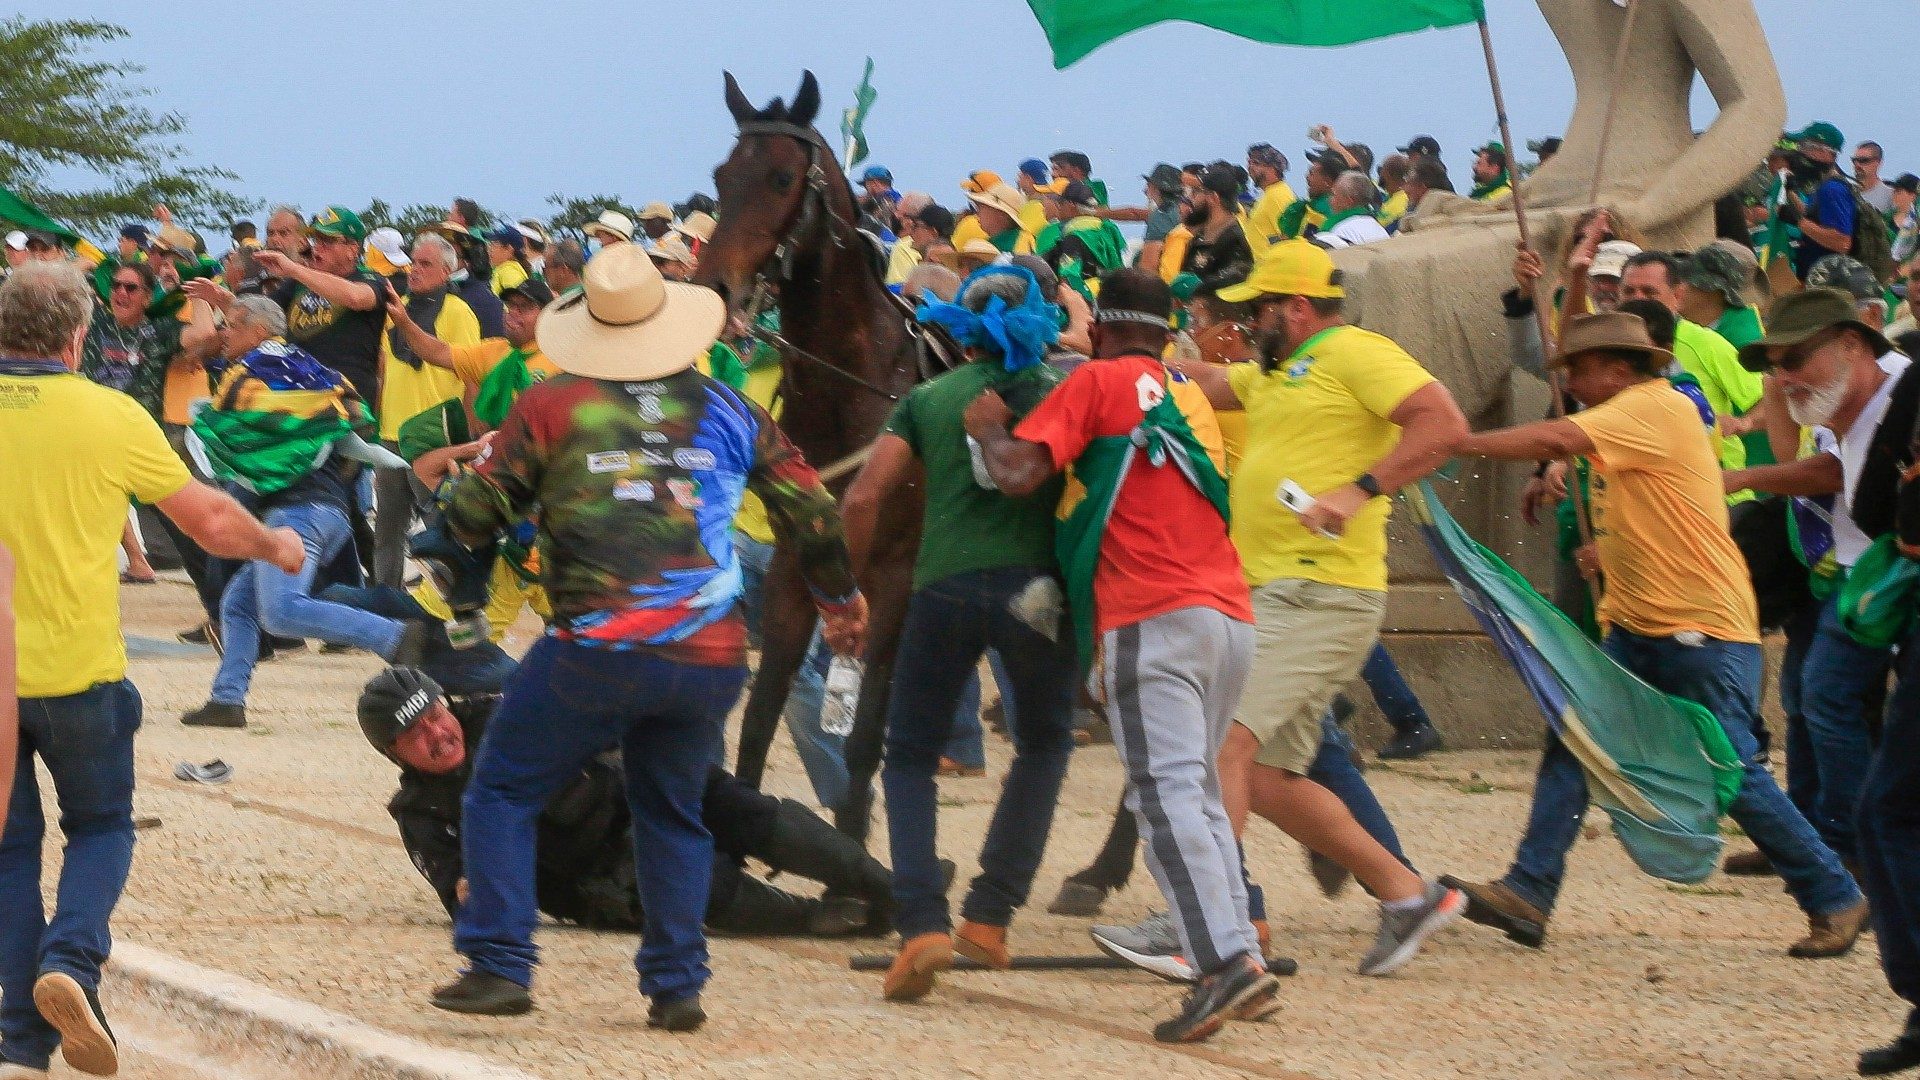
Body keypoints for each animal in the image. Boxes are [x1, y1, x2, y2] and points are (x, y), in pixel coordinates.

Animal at [695, 71, 925, 841]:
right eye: (721, 175)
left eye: (782, 177)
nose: (713, 288)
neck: (852, 387)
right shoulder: (795, 568)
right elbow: (761, 717)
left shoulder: (891, 579)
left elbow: (863, 736)